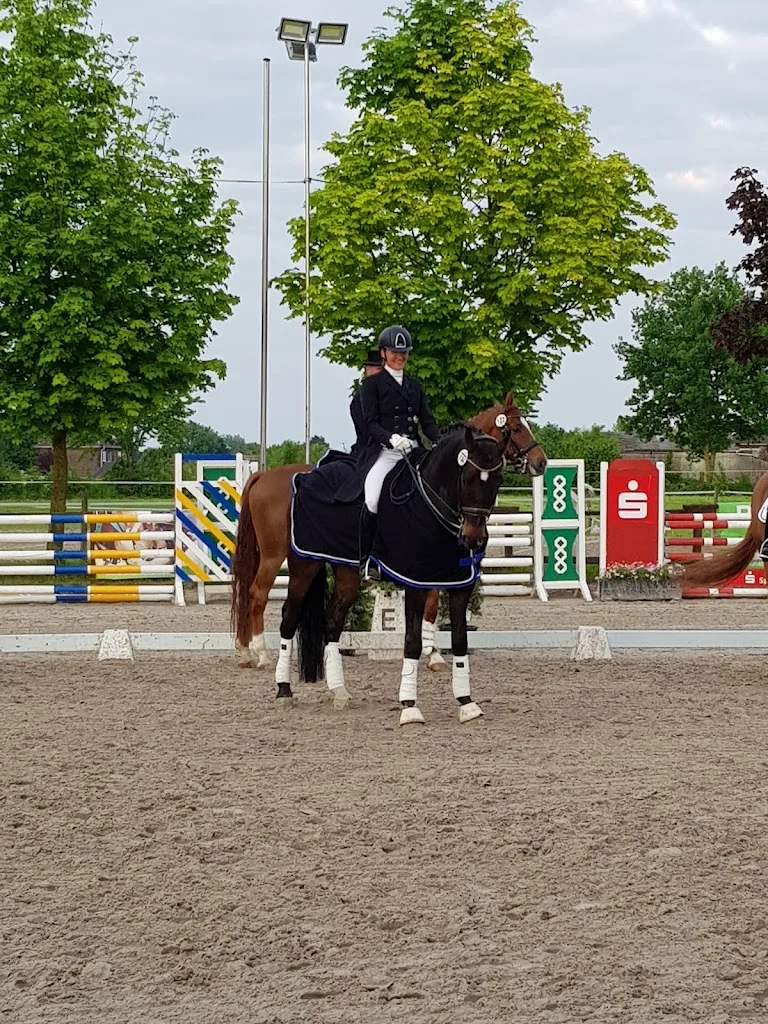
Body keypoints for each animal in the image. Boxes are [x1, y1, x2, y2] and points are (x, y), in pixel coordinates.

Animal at [230, 392, 547, 670]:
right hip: (275, 554)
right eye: (516, 428)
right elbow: (431, 605)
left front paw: (432, 652)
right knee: (257, 593)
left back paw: (246, 652)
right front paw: (433, 655)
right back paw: (261, 653)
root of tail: (263, 475)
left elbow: (432, 606)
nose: (541, 462)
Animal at [231, 423, 509, 726]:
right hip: (300, 564)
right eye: (468, 478)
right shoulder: (416, 583)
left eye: (497, 480)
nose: (474, 539)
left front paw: (466, 703)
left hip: (345, 572)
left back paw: (338, 691)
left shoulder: (459, 585)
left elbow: (460, 640)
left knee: (332, 621)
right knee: (285, 616)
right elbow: (412, 642)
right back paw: (281, 685)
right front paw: (410, 706)